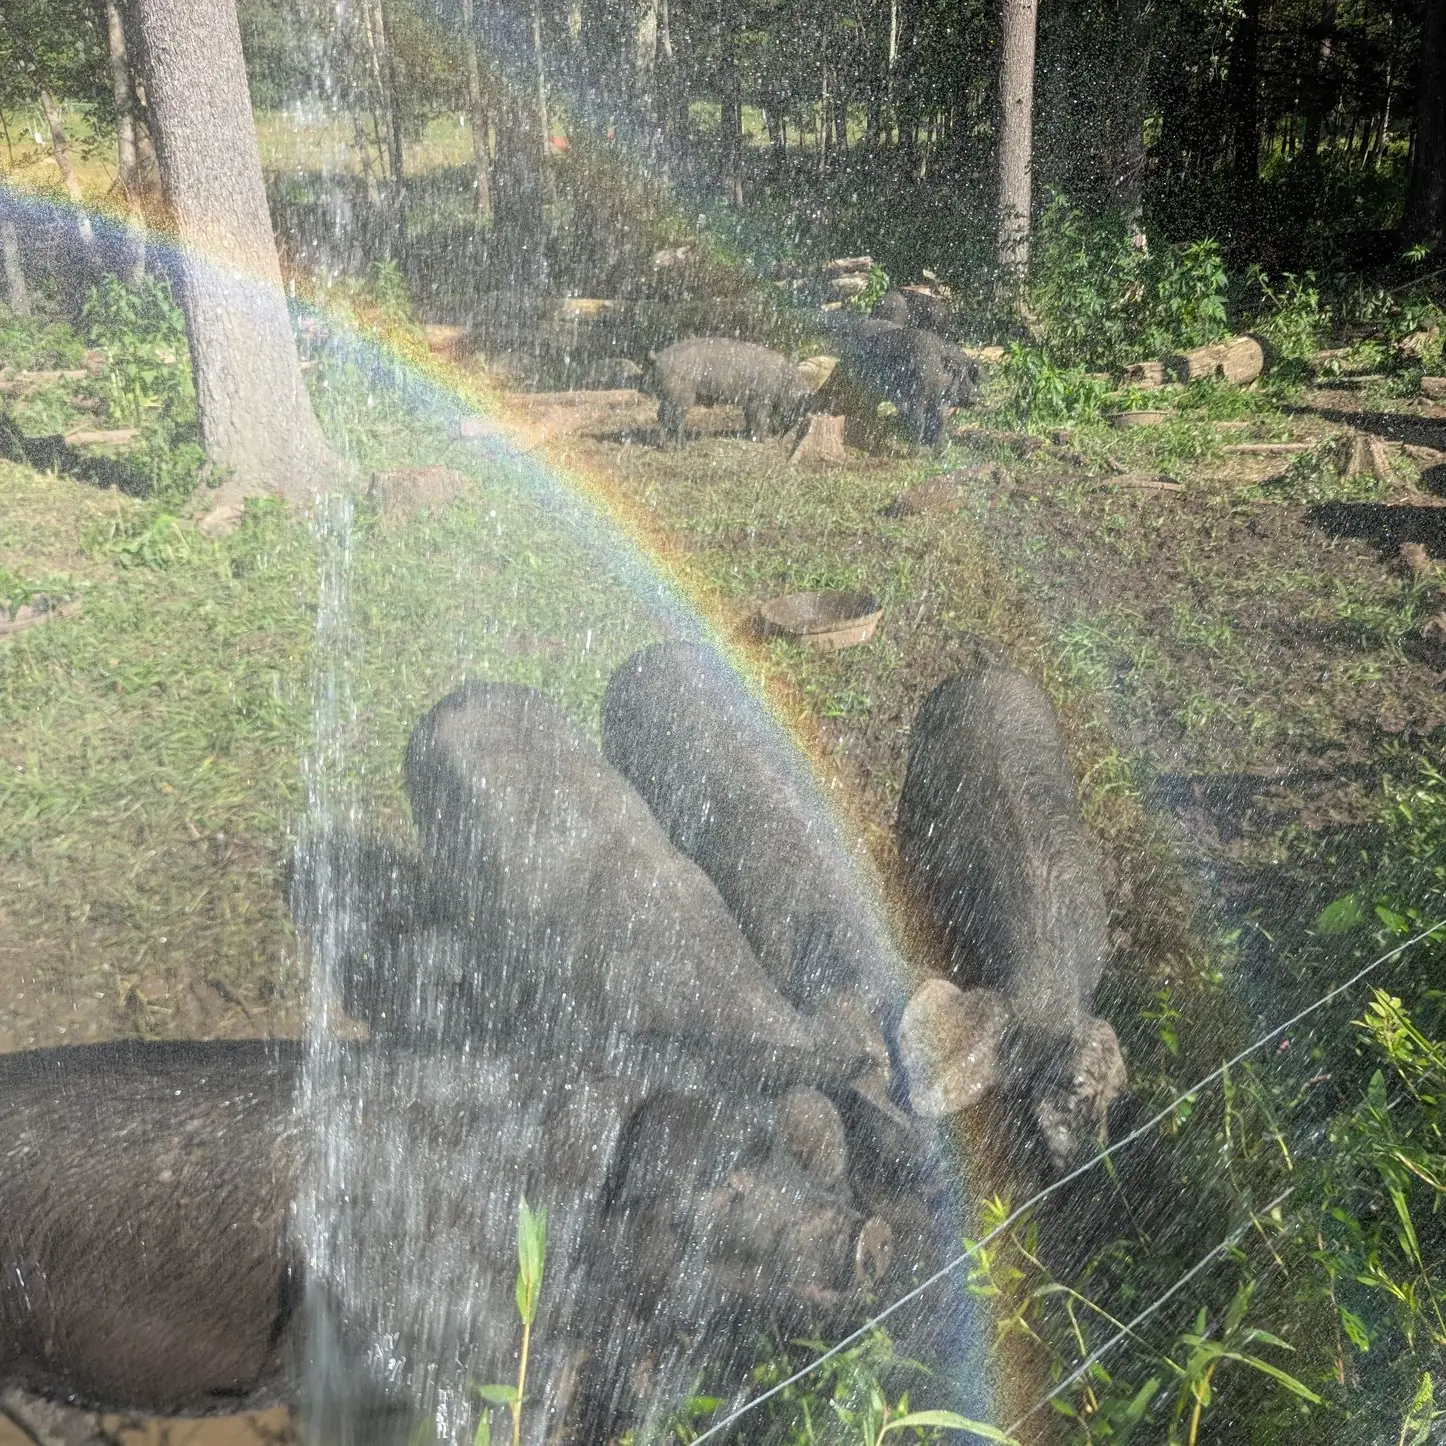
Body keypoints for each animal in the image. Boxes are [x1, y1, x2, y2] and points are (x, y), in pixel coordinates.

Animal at [646, 338, 815, 446]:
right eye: (798, 407)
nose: (779, 437)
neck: (784, 382)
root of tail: (658, 357)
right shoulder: (760, 398)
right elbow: (760, 418)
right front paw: (762, 440)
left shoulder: (748, 401)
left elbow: (749, 418)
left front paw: (748, 435)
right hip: (682, 395)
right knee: (675, 416)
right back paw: (682, 445)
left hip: (667, 395)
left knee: (661, 415)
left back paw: (662, 445)